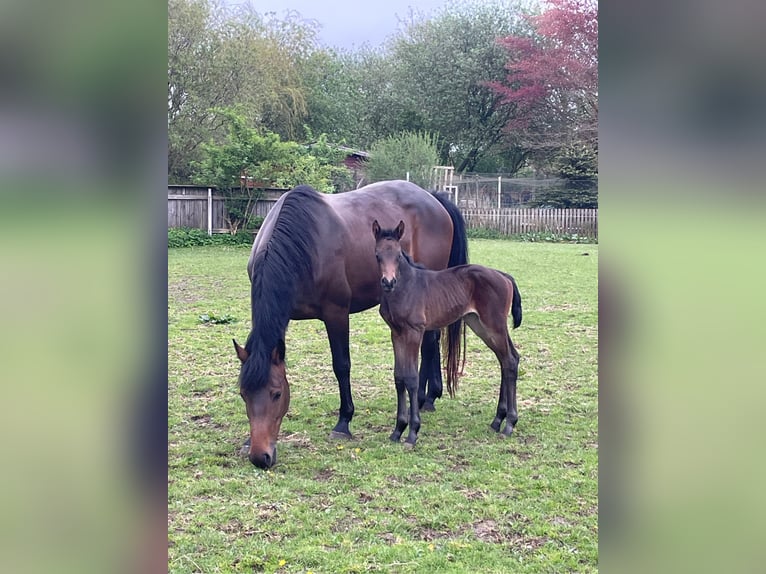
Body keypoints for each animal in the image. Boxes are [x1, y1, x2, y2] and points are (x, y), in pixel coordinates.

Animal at [234, 182, 468, 470]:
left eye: (277, 394)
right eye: (243, 394)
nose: (260, 457)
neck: (304, 244)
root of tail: (432, 198)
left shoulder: (336, 313)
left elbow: (341, 366)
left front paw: (343, 422)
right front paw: (247, 441)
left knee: (430, 342)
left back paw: (428, 397)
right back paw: (428, 398)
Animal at [372, 218, 520, 448]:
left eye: (397, 255)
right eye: (378, 255)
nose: (388, 282)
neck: (405, 287)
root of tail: (504, 276)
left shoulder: (414, 332)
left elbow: (411, 378)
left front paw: (412, 433)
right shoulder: (396, 333)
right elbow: (399, 377)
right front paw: (397, 431)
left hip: (494, 325)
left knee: (510, 361)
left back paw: (509, 424)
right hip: (479, 325)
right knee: (506, 360)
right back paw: (498, 420)